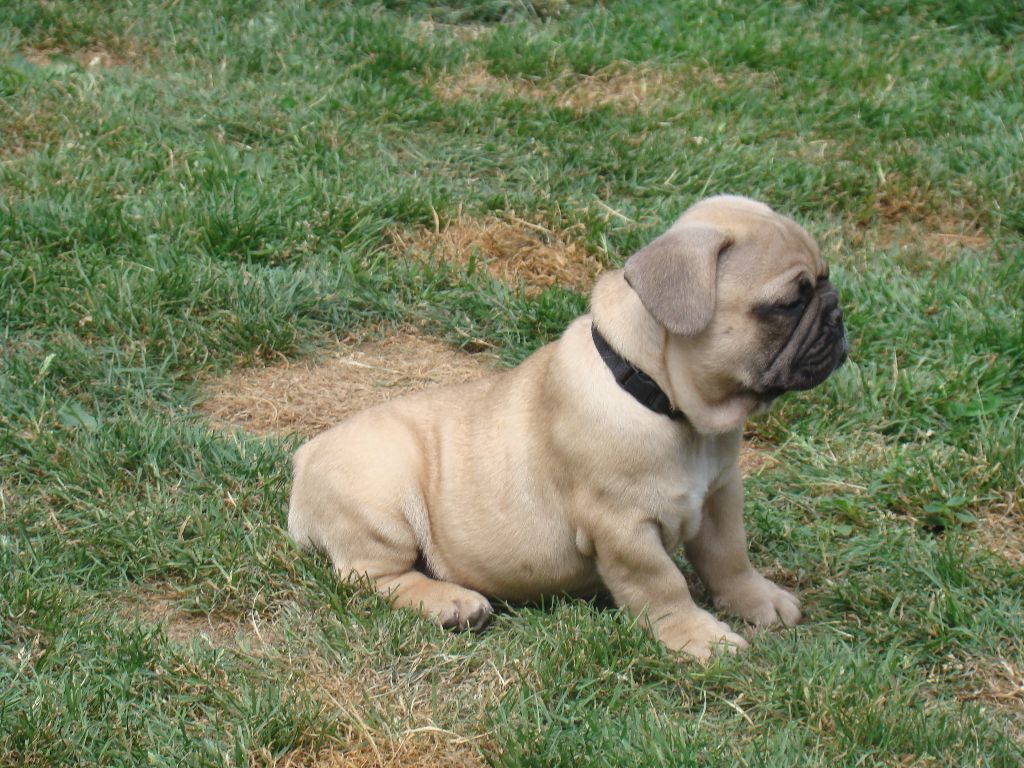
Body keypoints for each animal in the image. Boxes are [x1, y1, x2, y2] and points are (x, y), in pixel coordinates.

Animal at [288, 195, 847, 660]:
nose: (838, 315)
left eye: (823, 281)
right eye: (787, 303)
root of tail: (304, 457)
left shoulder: (720, 497)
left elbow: (730, 557)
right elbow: (662, 584)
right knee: (372, 576)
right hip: (382, 492)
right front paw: (697, 636)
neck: (660, 398)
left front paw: (758, 600)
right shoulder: (623, 525)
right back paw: (451, 602)